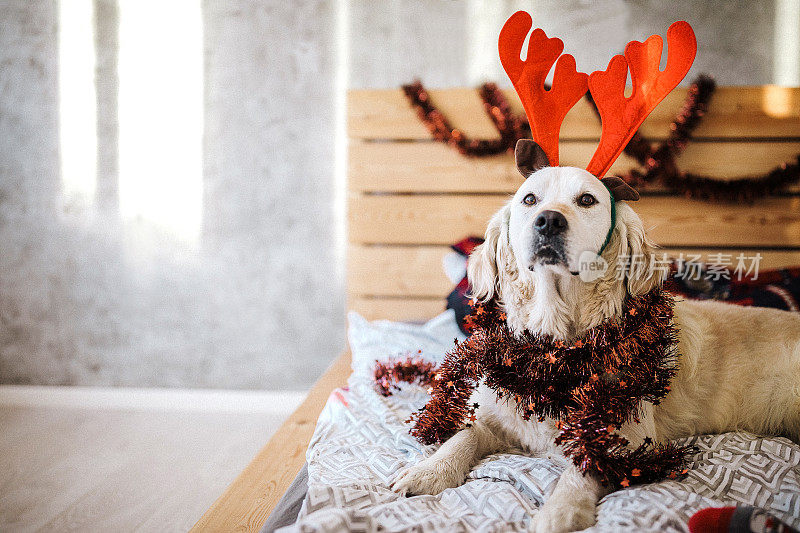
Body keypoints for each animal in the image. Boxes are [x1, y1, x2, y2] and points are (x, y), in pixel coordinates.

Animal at [394, 140, 800, 532]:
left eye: (587, 200)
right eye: (530, 200)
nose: (548, 221)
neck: (555, 353)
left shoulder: (627, 434)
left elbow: (585, 467)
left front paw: (561, 511)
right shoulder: (500, 413)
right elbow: (463, 434)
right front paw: (427, 471)